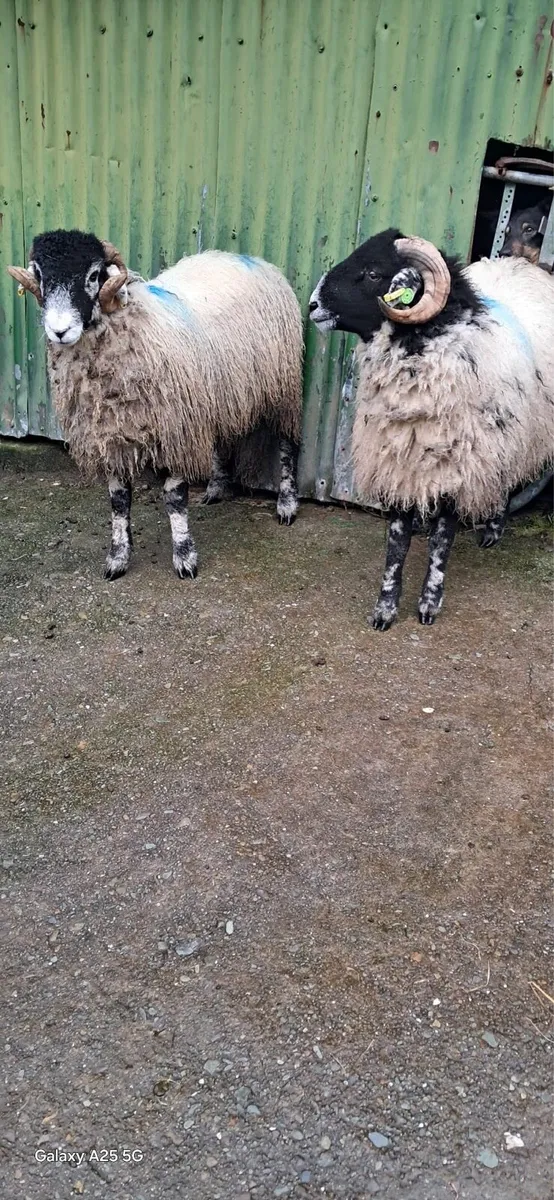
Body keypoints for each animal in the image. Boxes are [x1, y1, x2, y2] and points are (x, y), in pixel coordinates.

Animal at [8, 230, 303, 580]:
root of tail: (248, 258)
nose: (59, 331)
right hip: (218, 392)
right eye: (40, 275)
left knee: (287, 444)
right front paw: (118, 558)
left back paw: (287, 504)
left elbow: (174, 498)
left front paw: (184, 557)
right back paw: (216, 488)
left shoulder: (176, 430)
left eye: (93, 275)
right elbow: (119, 501)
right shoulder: (111, 437)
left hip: (284, 386)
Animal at [309, 228, 554, 629]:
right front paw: (385, 609)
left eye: (374, 273)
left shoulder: (457, 470)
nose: (313, 305)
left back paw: (493, 530)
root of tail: (524, 265)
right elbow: (397, 543)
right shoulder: (398, 464)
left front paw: (428, 604)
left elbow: (441, 544)